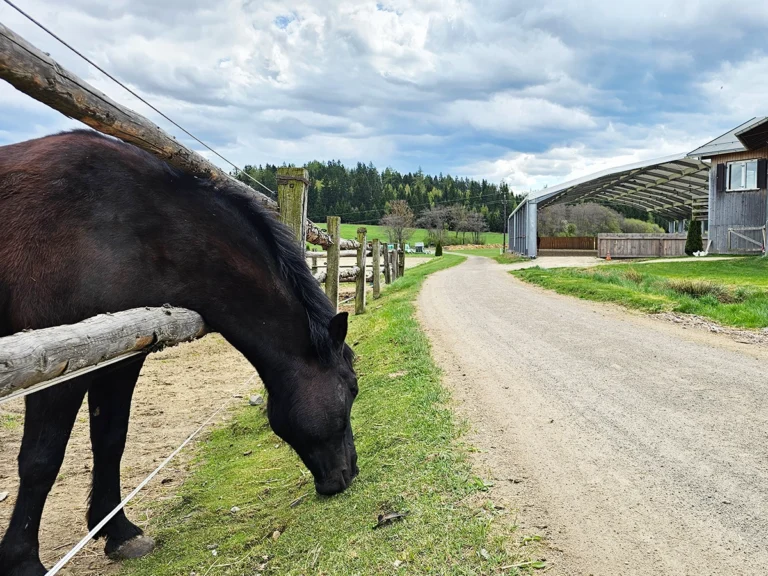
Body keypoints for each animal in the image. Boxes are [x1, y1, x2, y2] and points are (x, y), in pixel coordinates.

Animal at [0, 130, 359, 576]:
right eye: (352, 388)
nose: (351, 472)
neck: (128, 222)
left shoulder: (119, 355)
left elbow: (111, 440)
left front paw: (118, 531)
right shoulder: (60, 364)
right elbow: (40, 460)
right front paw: (22, 560)